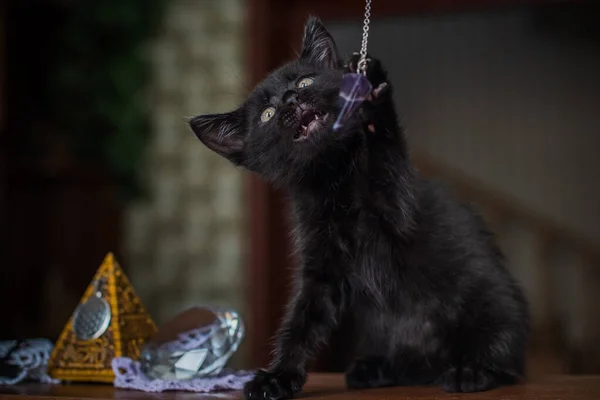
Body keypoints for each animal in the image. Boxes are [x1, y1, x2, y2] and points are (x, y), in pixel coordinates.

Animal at [190, 16, 528, 400]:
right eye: (267, 114)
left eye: (305, 81)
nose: (291, 99)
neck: (334, 183)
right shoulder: (321, 267)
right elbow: (303, 322)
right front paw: (279, 376)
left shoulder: (399, 205)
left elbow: (384, 158)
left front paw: (373, 96)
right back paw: (376, 368)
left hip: (493, 303)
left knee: (505, 356)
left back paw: (472, 370)